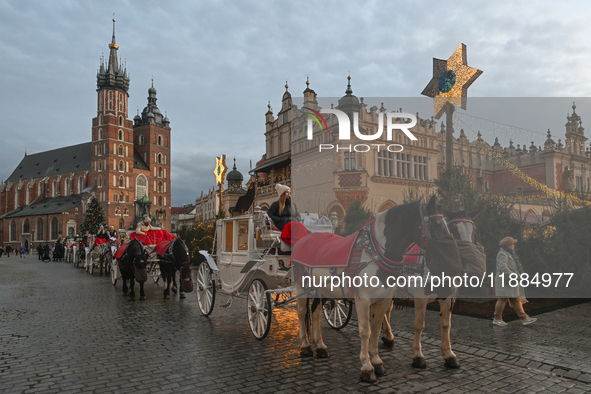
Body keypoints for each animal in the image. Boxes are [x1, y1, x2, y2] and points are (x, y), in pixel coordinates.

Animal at [294, 195, 460, 384]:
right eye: (437, 225)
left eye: (448, 226)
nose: (455, 266)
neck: (376, 252)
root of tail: (307, 236)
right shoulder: (363, 299)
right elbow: (365, 331)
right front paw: (366, 367)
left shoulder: (384, 298)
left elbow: (375, 327)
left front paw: (377, 362)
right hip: (301, 284)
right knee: (301, 311)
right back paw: (306, 345)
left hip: (322, 289)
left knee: (315, 313)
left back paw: (321, 347)